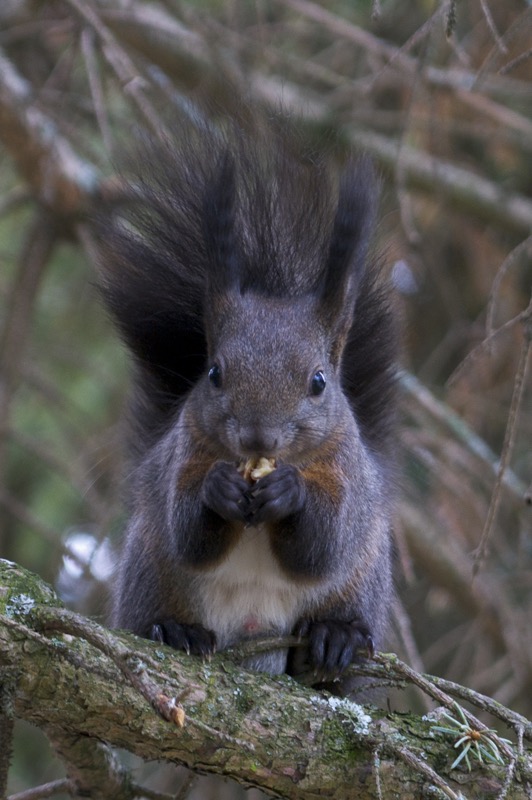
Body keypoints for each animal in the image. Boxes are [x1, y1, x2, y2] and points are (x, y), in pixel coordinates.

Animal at [95, 106, 396, 688]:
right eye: (213, 373)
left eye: (319, 381)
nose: (259, 438)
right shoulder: (184, 451)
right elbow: (188, 531)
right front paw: (219, 490)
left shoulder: (345, 470)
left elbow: (323, 545)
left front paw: (289, 492)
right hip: (147, 566)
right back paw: (175, 631)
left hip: (367, 578)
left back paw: (334, 639)